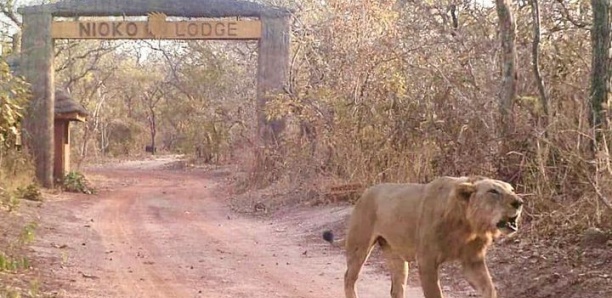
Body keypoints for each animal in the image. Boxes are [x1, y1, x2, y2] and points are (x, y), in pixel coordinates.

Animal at [320, 176, 524, 298]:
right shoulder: (426, 260)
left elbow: (489, 288)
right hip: (359, 247)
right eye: (493, 192)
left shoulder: (472, 261)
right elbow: (435, 293)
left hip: (396, 256)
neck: (468, 226)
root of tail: (363, 194)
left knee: (396, 288)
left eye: (512, 190)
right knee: (348, 278)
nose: (519, 202)